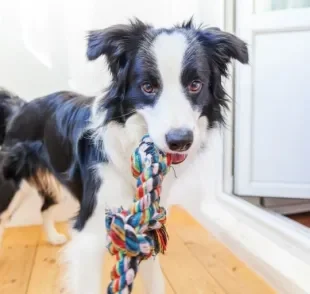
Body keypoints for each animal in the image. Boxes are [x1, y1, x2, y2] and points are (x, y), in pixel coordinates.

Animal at [0, 19, 247, 292]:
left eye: (195, 85)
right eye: (148, 87)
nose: (180, 141)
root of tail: (20, 107)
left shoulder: (147, 229)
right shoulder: (89, 236)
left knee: (46, 206)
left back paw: (53, 237)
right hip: (10, 186)